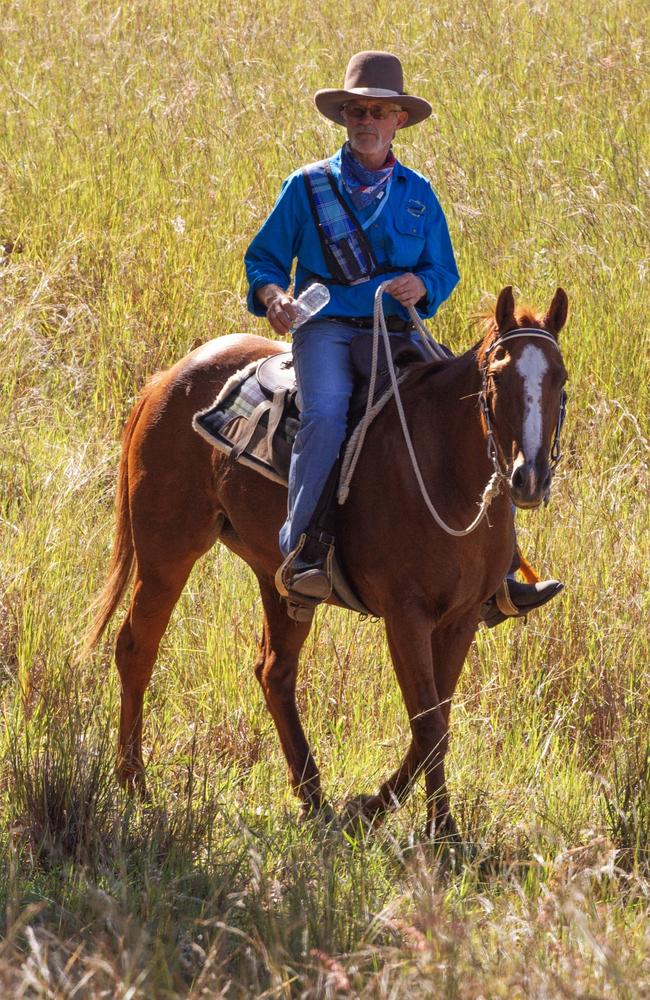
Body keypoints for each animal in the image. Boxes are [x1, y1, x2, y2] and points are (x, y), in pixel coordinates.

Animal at [83, 286, 564, 840]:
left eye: (560, 378)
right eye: (498, 377)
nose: (529, 478)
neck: (446, 473)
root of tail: (166, 379)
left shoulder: (461, 617)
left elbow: (438, 720)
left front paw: (405, 818)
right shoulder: (405, 615)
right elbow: (428, 723)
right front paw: (416, 822)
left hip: (275, 576)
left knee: (274, 671)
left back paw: (313, 795)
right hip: (167, 552)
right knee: (136, 649)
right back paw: (135, 784)